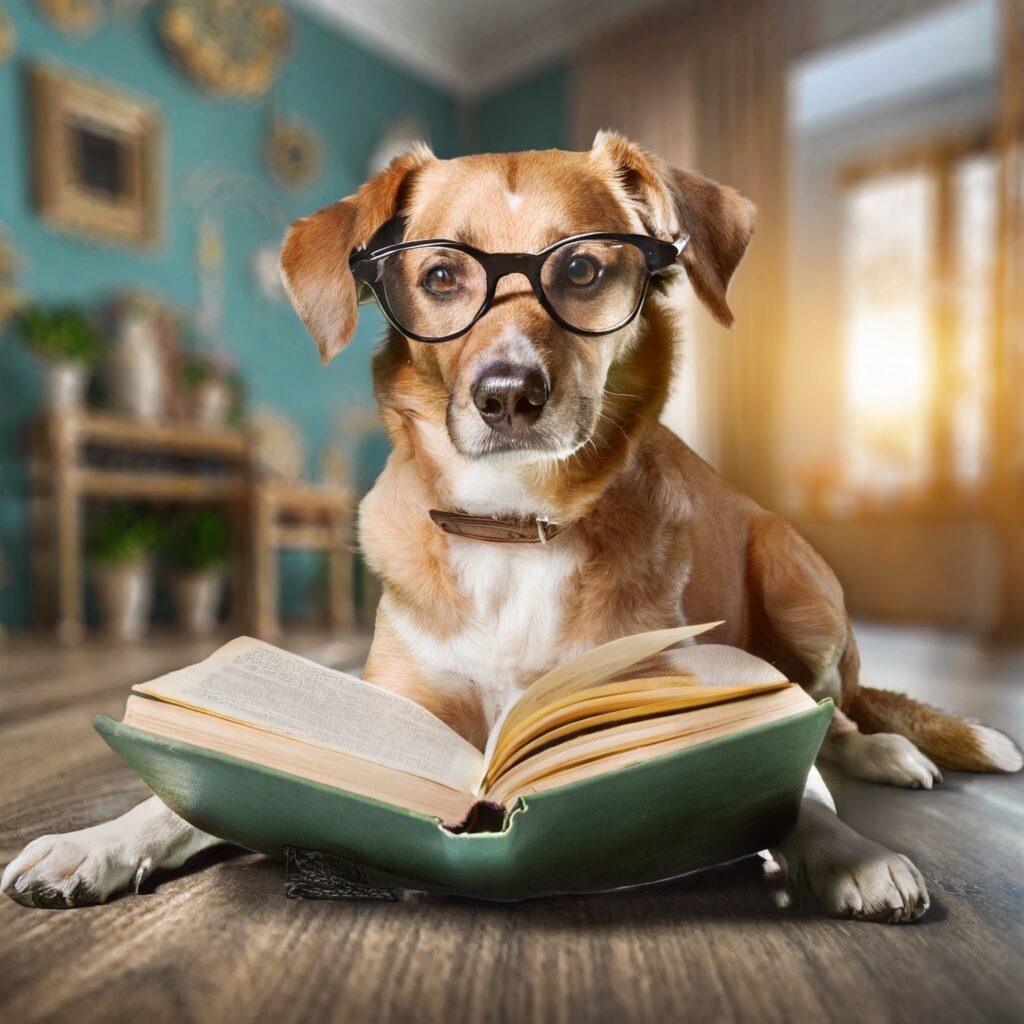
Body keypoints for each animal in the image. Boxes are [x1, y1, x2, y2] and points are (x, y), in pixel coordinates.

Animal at [4, 132, 1019, 917]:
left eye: (583, 266)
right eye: (441, 275)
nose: (507, 394)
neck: (512, 526)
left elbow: (787, 778)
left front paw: (845, 850)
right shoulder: (395, 713)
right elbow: (201, 785)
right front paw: (95, 840)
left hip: (794, 577)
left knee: (835, 709)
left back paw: (888, 751)